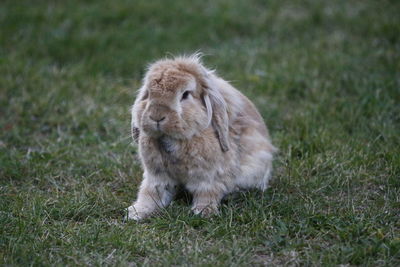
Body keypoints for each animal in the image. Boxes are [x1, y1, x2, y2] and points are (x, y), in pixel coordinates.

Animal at [127, 54, 276, 222]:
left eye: (185, 94)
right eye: (148, 94)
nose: (156, 116)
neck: (172, 140)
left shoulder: (209, 177)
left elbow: (207, 194)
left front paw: (203, 212)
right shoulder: (157, 176)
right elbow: (151, 193)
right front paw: (137, 212)